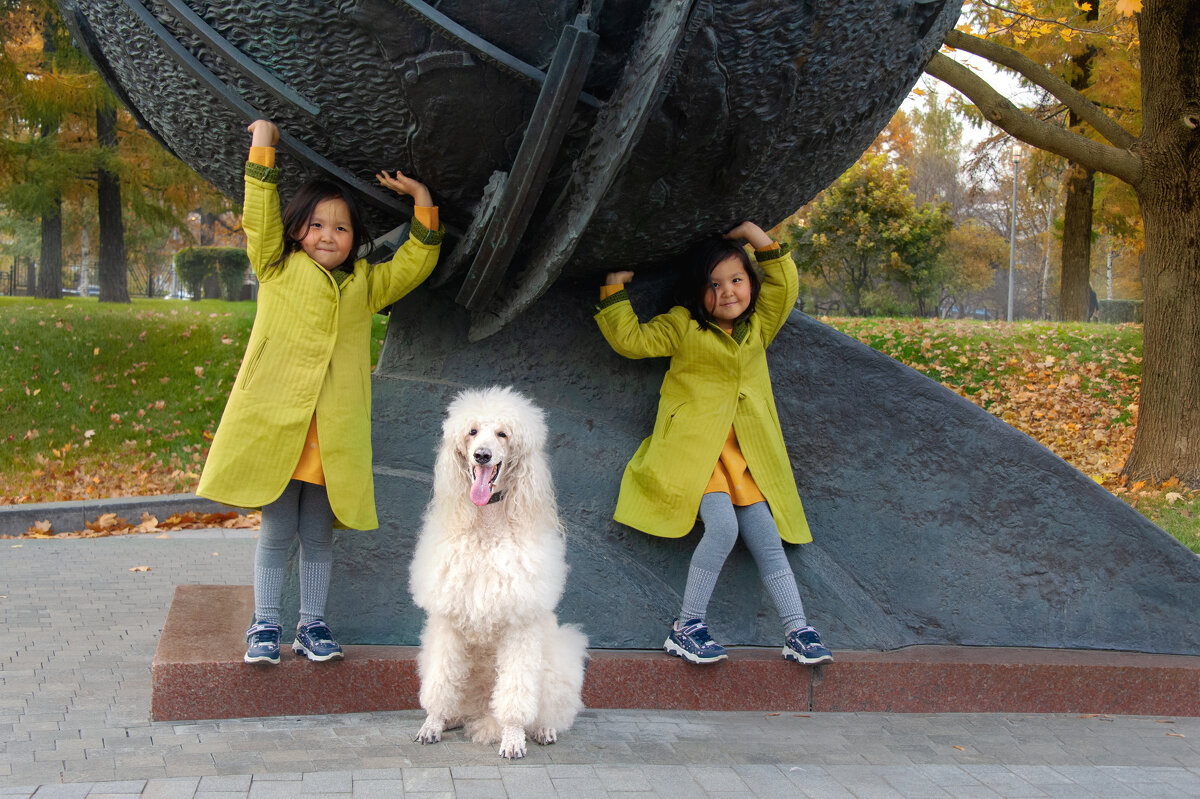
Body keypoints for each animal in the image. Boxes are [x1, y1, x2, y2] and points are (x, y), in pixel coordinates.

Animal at [408, 386, 585, 758]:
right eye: (472, 431)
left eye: (503, 433)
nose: (482, 456)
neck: (487, 529)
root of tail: (481, 713)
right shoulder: (448, 623)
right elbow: (440, 683)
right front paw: (433, 723)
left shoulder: (520, 628)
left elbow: (516, 695)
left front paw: (512, 738)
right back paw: (453, 719)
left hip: (555, 660)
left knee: (548, 707)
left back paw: (541, 729)